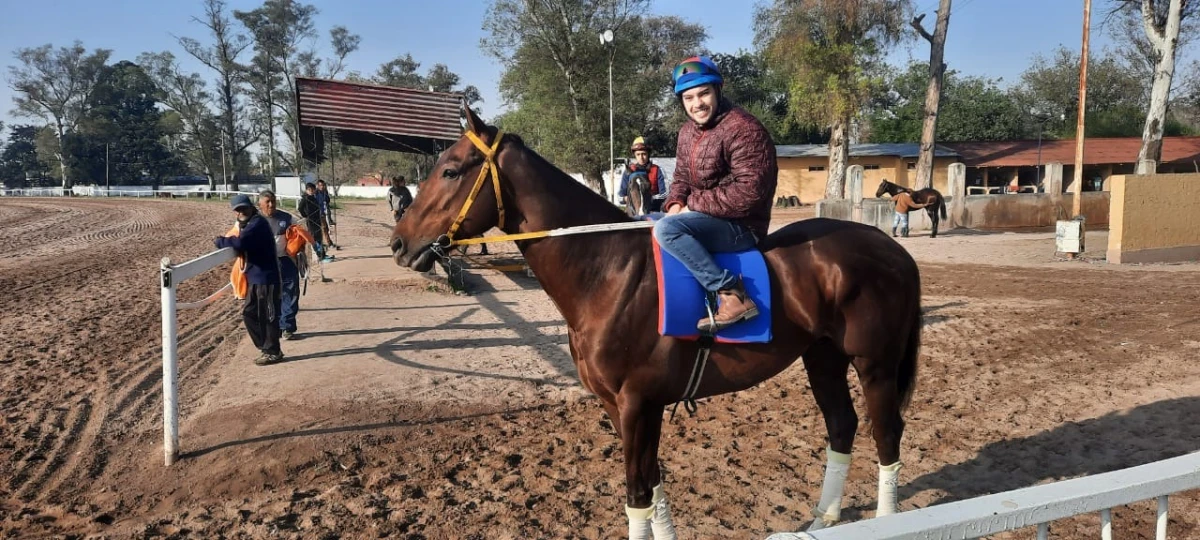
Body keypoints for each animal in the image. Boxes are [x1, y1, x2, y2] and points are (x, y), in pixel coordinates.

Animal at [388, 108, 921, 535]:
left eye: (450, 170)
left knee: (887, 434)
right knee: (842, 426)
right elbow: (652, 487)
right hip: (823, 358)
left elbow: (638, 496)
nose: (398, 242)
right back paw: (825, 517)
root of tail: (891, 249)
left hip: (873, 363)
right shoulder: (619, 407)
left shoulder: (638, 404)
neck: (608, 270)